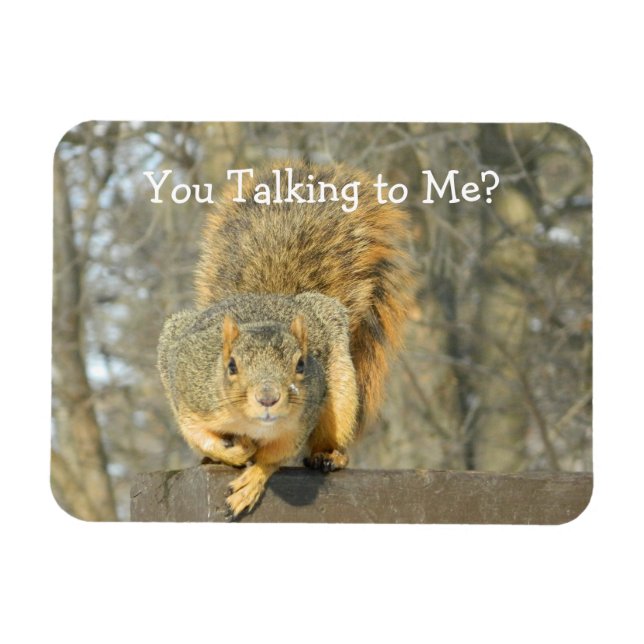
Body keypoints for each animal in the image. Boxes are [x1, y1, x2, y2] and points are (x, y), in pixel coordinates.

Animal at [158, 162, 414, 517]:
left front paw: (252, 479)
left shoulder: (300, 418)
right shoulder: (190, 391)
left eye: (301, 365)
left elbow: (274, 456)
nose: (268, 398)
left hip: (341, 392)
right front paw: (232, 452)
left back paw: (329, 455)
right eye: (231, 366)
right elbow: (198, 433)